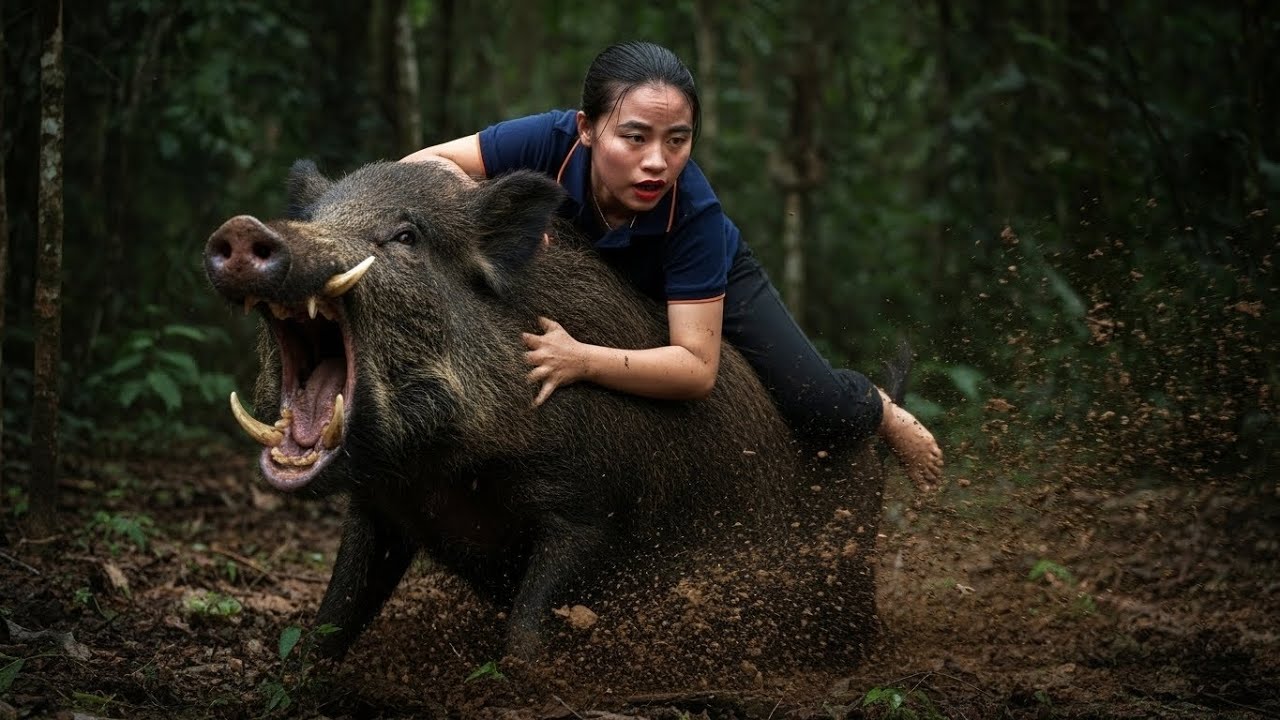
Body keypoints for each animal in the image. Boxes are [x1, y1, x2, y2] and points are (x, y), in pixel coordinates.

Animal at [203, 159, 887, 662]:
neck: (445, 471)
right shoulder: (381, 510)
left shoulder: (591, 509)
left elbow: (527, 629)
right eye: (315, 216)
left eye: (406, 236)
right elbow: (332, 619)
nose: (241, 229)